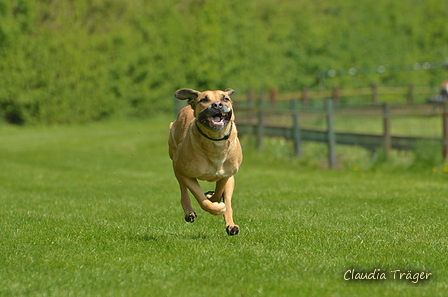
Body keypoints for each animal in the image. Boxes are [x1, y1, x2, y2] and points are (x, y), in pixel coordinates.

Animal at [169, 88, 242, 236]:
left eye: (225, 98)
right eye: (204, 99)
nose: (217, 105)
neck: (216, 141)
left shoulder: (227, 174)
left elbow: (221, 193)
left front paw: (215, 200)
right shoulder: (185, 173)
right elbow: (201, 199)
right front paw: (216, 207)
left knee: (227, 199)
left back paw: (231, 225)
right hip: (175, 160)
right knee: (183, 189)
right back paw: (189, 212)